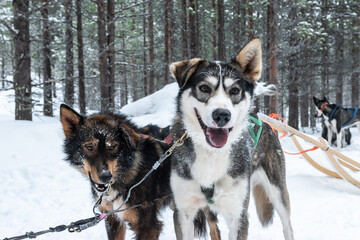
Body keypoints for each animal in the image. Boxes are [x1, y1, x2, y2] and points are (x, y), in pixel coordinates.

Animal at [168, 38, 292, 239]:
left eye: (234, 90)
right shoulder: (183, 212)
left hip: (278, 191)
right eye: (204, 88)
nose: (222, 115)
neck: (211, 154)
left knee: (287, 225)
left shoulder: (238, 215)